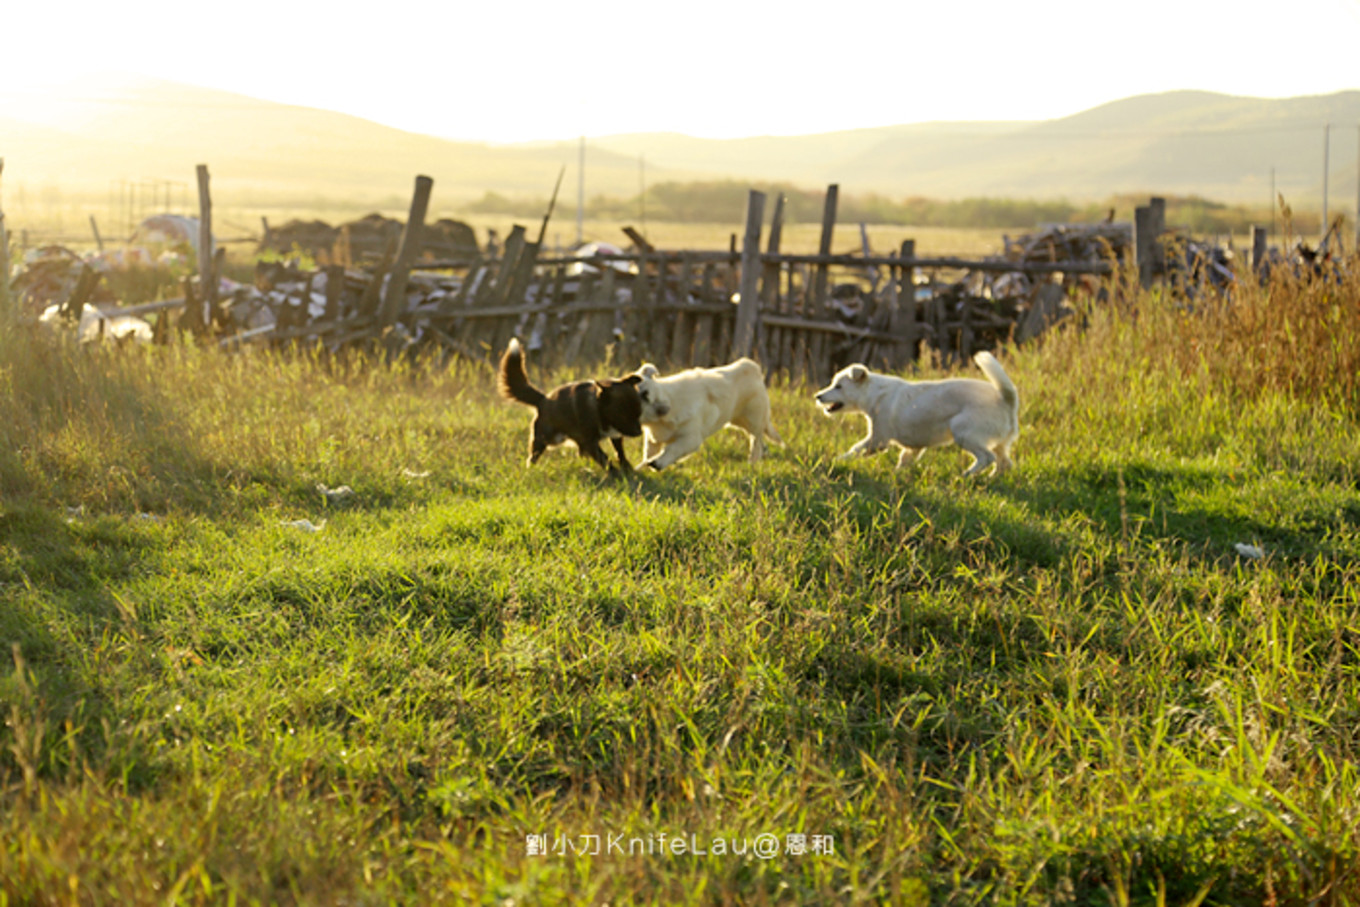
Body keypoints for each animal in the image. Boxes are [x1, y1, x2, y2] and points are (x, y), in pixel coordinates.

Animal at [497, 337, 644, 473]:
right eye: (623, 415)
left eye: (638, 414)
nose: (639, 432)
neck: (597, 408)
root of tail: (543, 399)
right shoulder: (590, 442)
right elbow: (604, 458)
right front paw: (616, 474)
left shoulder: (615, 435)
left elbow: (620, 452)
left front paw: (627, 468)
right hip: (546, 438)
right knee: (534, 455)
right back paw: (531, 469)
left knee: (581, 452)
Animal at [631, 356, 783, 467]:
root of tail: (753, 368)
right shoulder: (653, 438)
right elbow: (648, 453)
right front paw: (640, 467)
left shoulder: (691, 438)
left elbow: (672, 449)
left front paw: (657, 463)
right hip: (738, 421)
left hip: (753, 420)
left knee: (757, 439)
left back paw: (752, 462)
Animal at [810, 350, 1017, 475]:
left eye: (838, 386)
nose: (818, 396)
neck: (873, 393)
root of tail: (1007, 400)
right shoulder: (913, 446)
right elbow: (904, 459)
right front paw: (897, 474)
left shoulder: (878, 440)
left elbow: (855, 450)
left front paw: (836, 460)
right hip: (999, 443)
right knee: (1004, 463)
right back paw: (991, 479)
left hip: (963, 432)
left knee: (987, 457)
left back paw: (966, 475)